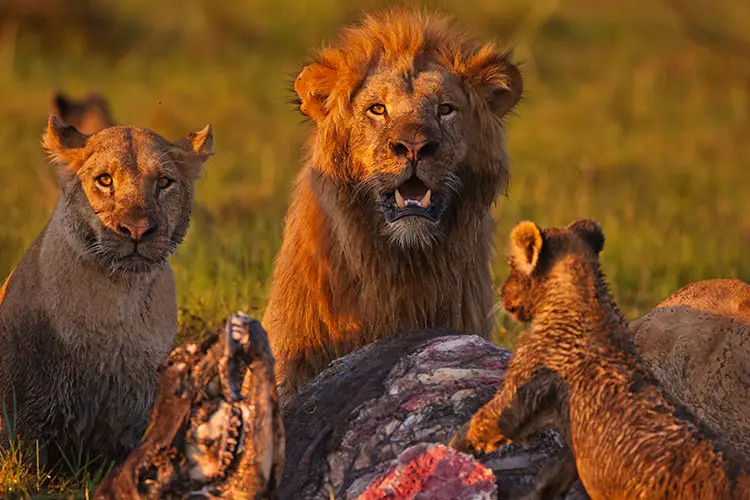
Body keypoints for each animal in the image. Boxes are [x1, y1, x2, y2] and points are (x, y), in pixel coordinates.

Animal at [0, 115, 214, 466]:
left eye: (164, 182)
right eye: (104, 180)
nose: (138, 229)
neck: (116, 299)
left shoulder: (136, 418)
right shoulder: (24, 418)